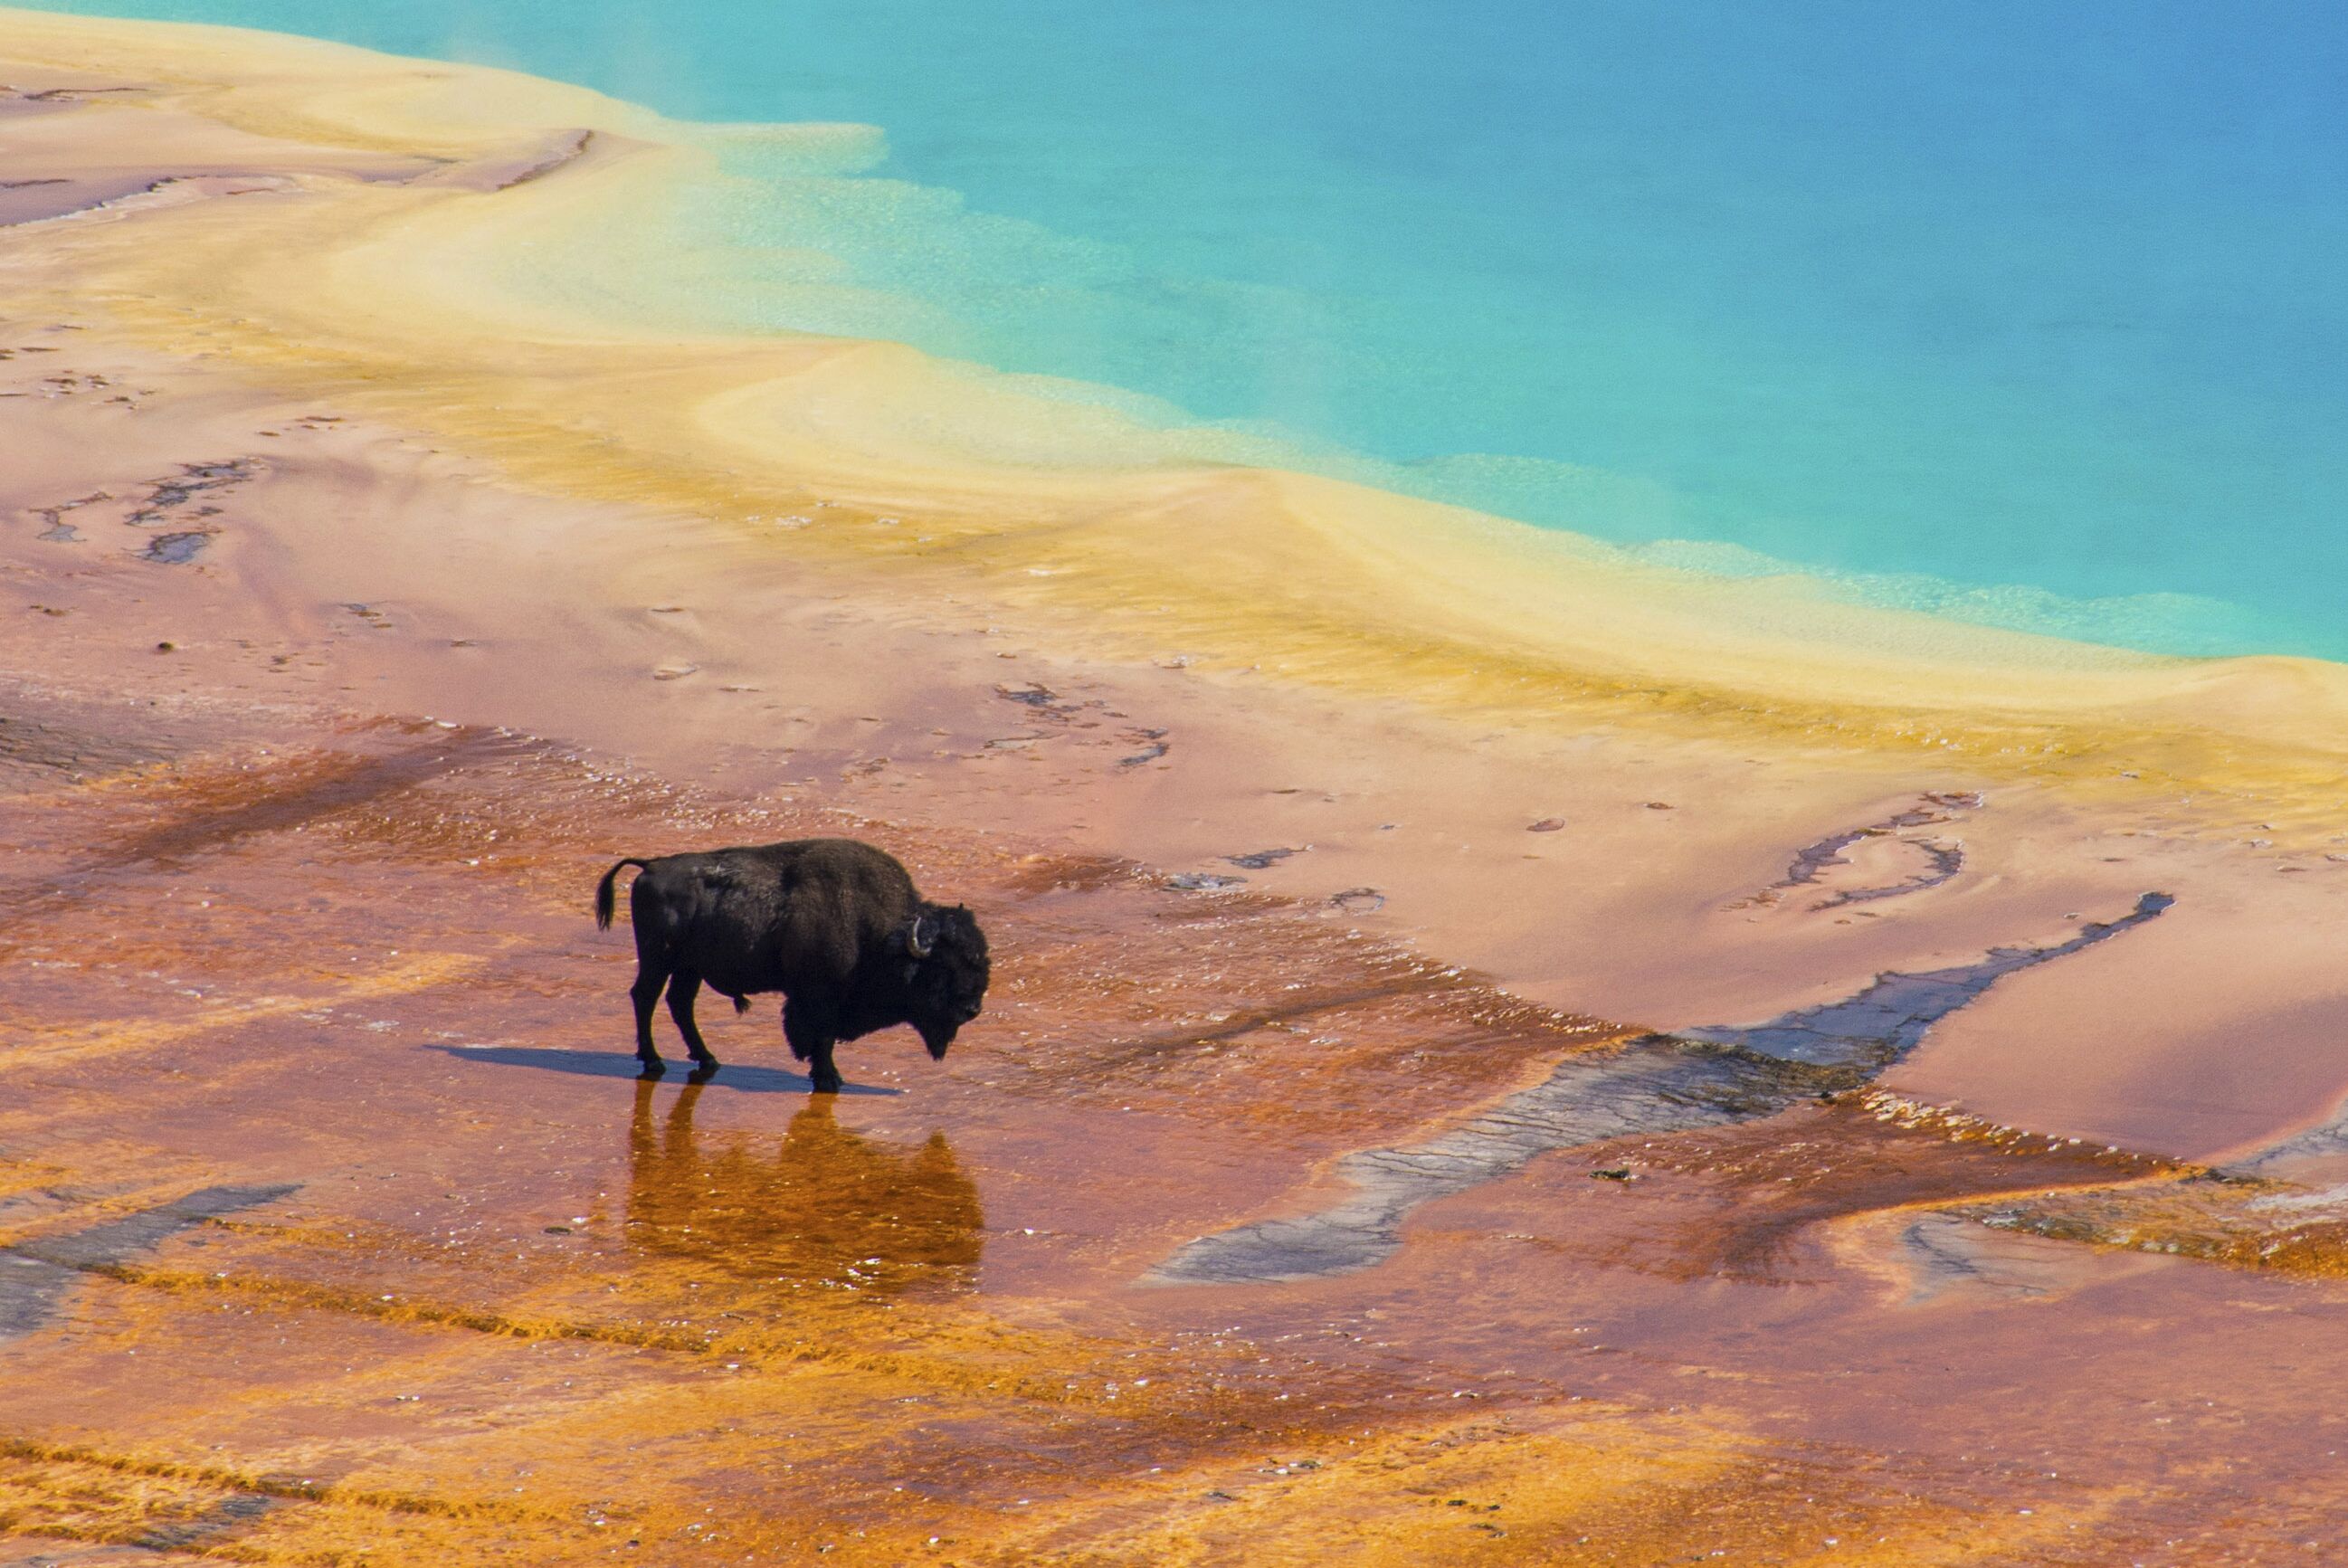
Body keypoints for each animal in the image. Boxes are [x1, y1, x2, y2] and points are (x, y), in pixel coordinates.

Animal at [594, 838, 990, 1093]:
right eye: (942, 968)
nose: (972, 1008)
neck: (878, 931)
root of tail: (651, 865)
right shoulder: (818, 997)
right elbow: (822, 1037)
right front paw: (829, 1078)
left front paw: (826, 1075)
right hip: (658, 959)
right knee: (645, 997)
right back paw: (654, 1061)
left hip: (689, 968)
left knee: (679, 1003)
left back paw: (707, 1059)